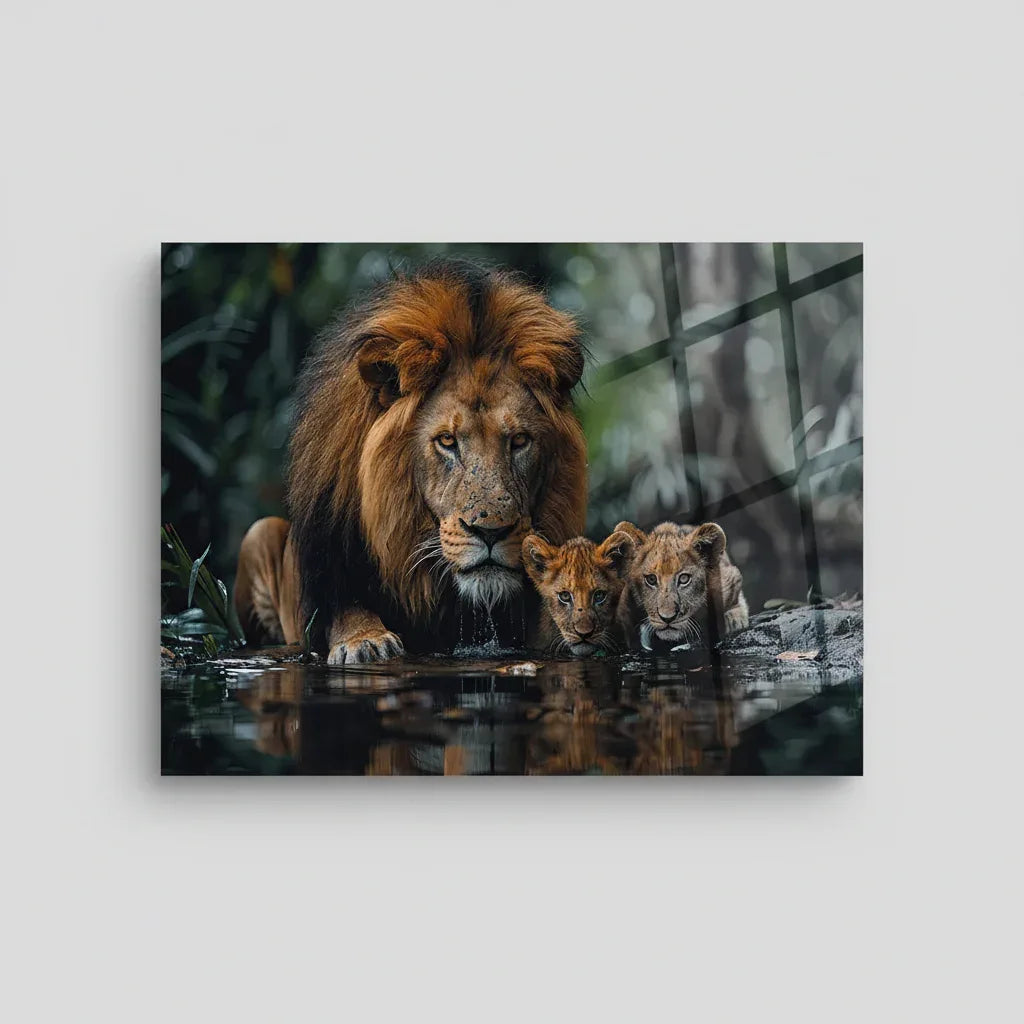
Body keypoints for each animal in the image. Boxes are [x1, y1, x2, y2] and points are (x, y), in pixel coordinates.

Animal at [234, 259, 588, 664]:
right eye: (447, 441)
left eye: (519, 441)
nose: (491, 532)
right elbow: (346, 609)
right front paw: (365, 641)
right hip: (259, 533)